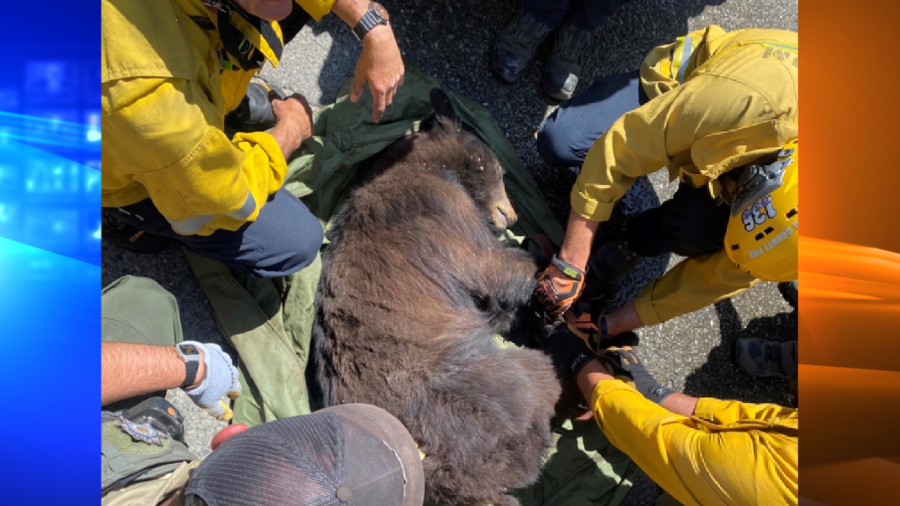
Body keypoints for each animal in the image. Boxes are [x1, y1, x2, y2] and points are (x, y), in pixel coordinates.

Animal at [312, 89, 560, 504]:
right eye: (499, 171)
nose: (510, 216)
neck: (424, 165)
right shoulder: (440, 209)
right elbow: (491, 266)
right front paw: (544, 265)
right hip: (485, 390)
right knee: (537, 381)